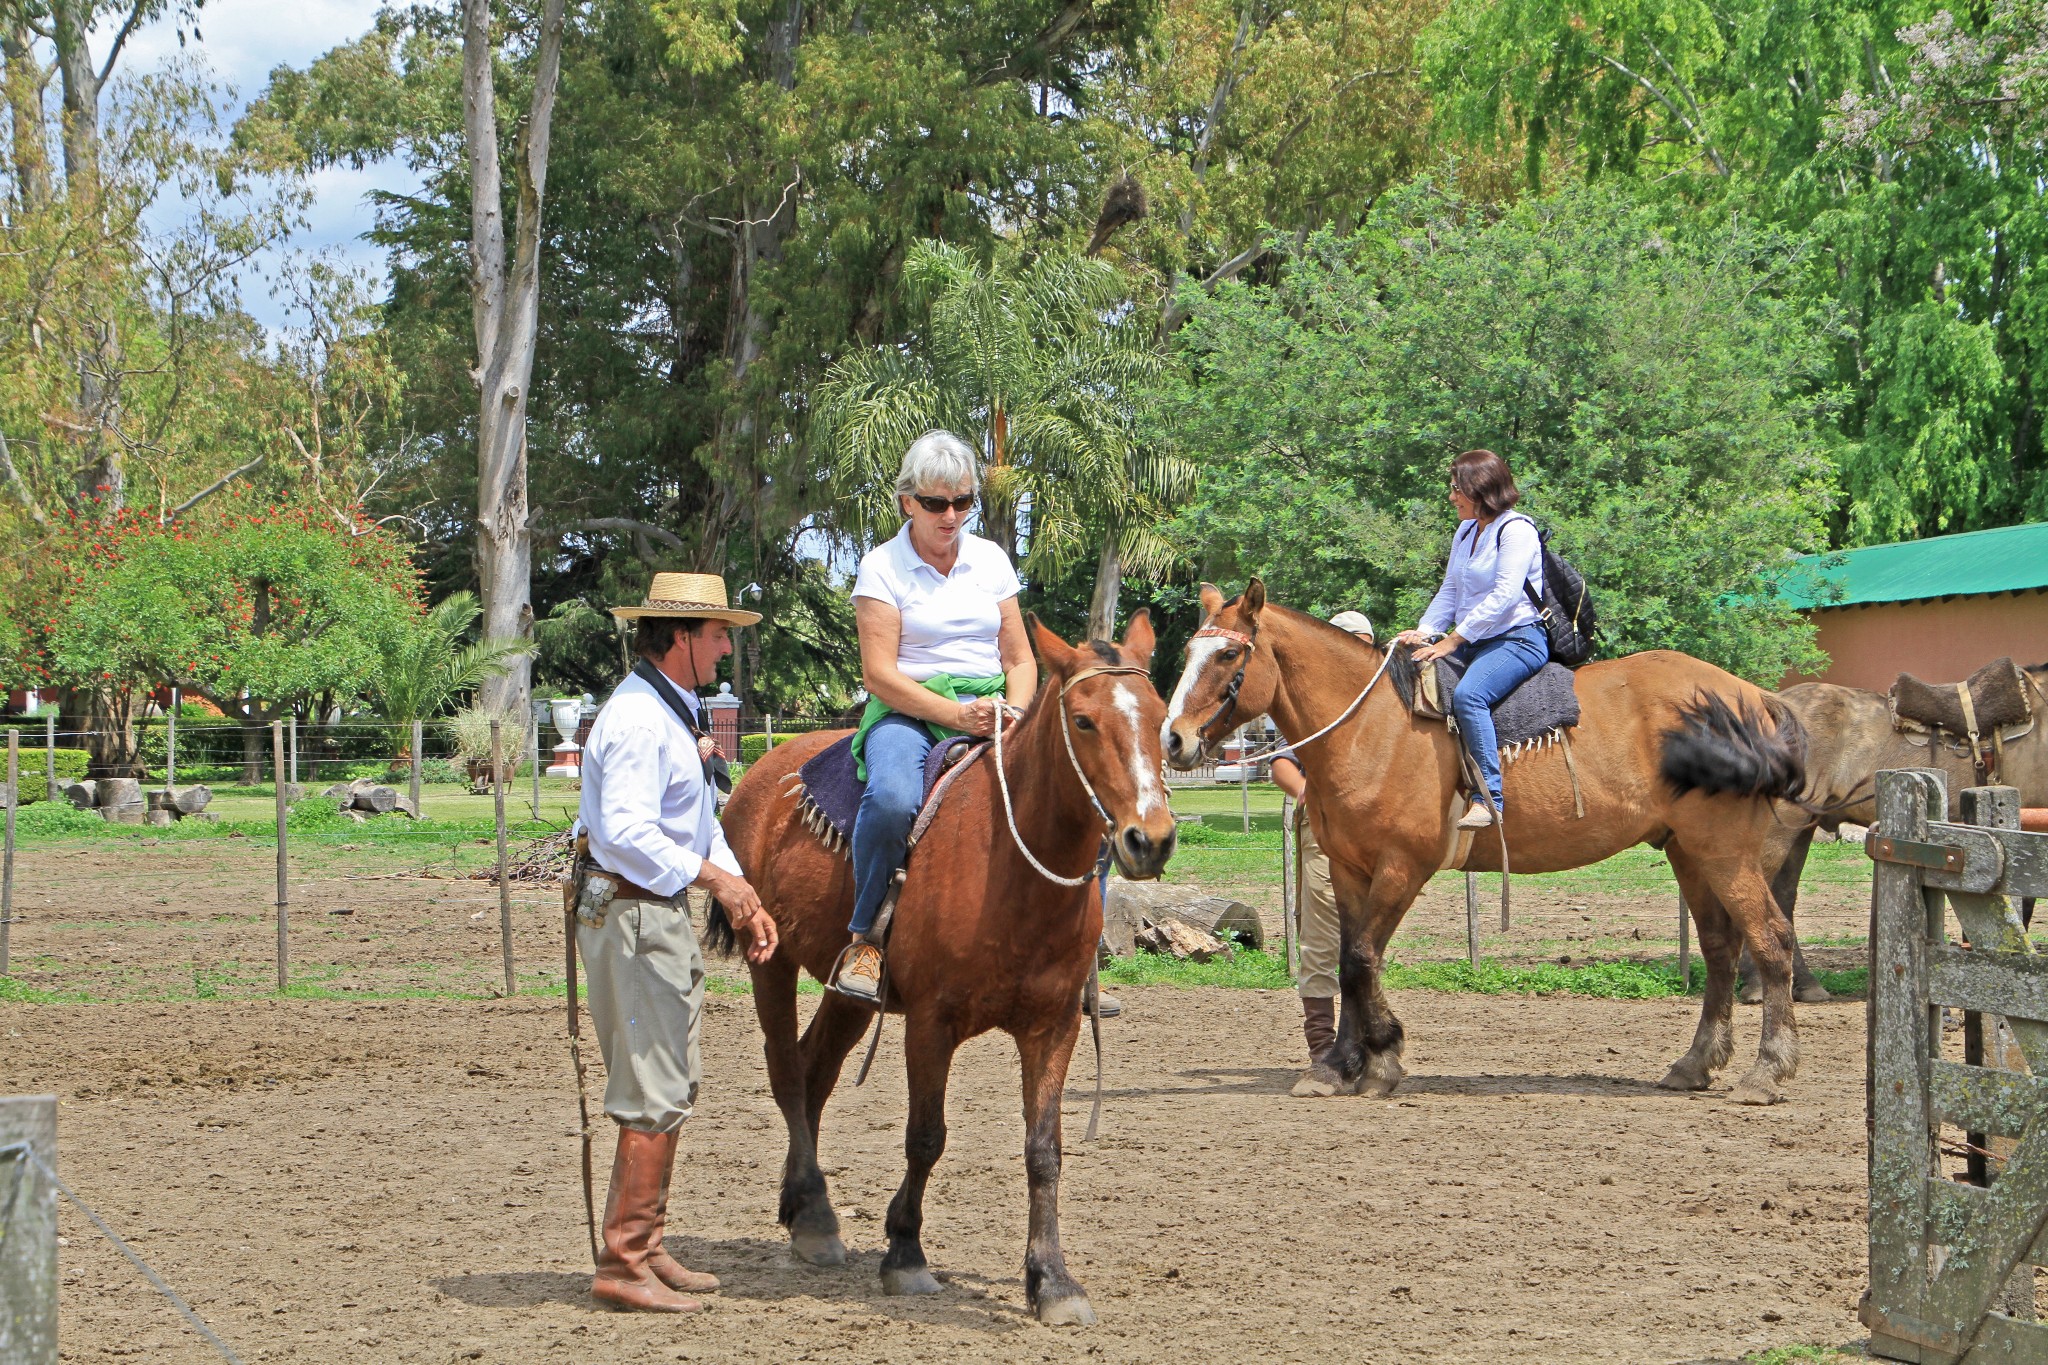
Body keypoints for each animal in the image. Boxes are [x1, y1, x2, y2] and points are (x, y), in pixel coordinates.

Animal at [708, 613, 1179, 1326]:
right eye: (1084, 720)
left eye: (1157, 716)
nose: (1149, 839)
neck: (1012, 867)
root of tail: (758, 775)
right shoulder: (930, 1023)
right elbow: (925, 1136)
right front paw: (905, 1254)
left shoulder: (1054, 1027)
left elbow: (1044, 1151)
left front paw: (1052, 1280)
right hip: (773, 960)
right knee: (787, 1072)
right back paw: (816, 1215)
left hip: (850, 993)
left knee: (816, 1069)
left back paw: (803, 1210)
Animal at [1163, 581, 1818, 1105]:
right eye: (1190, 650)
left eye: (1228, 653)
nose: (1172, 740)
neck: (1373, 728)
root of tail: (1753, 699)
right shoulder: (1349, 870)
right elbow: (1351, 963)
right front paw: (1339, 1067)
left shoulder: (1403, 867)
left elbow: (1362, 959)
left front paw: (1382, 1059)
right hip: (1689, 851)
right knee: (1720, 949)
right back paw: (1695, 1063)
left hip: (1725, 853)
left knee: (1771, 941)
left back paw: (1768, 1072)